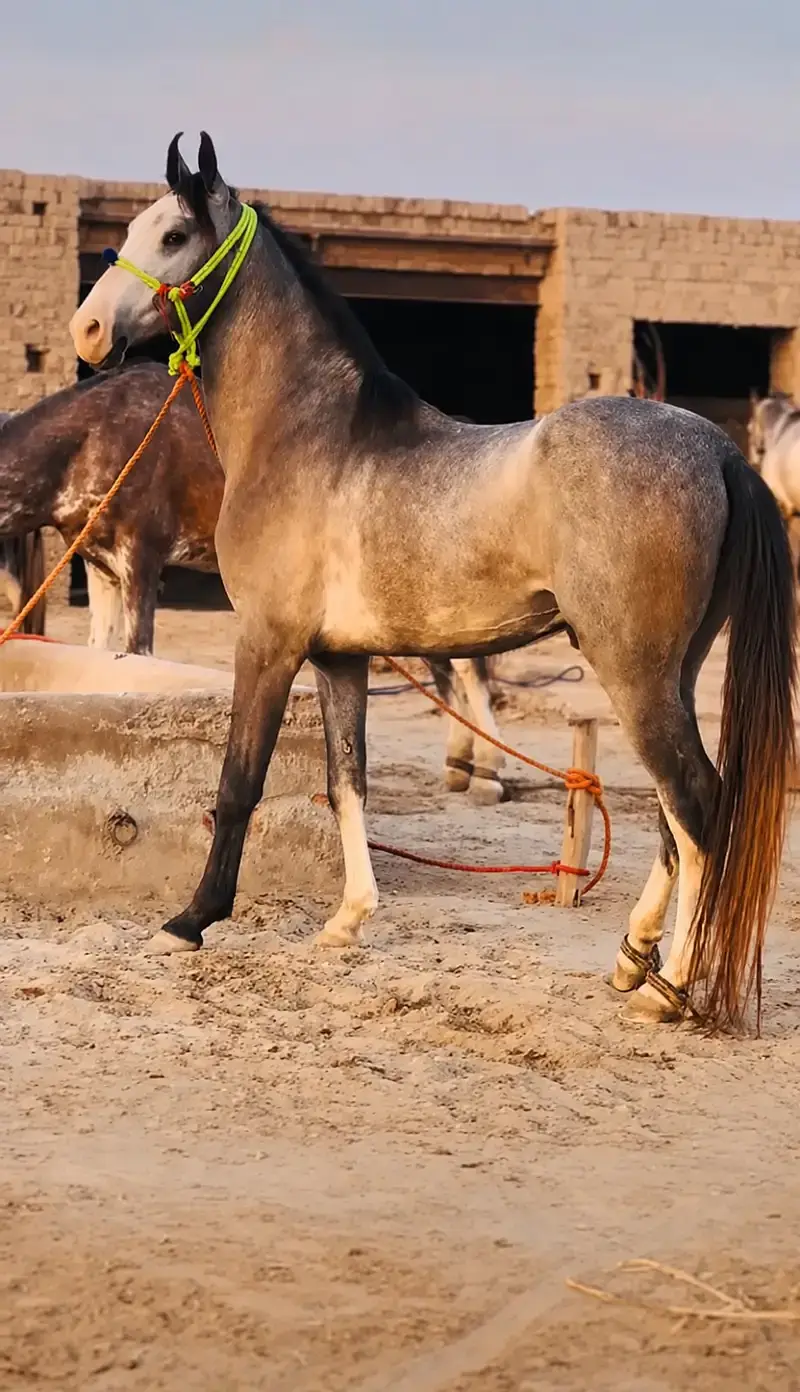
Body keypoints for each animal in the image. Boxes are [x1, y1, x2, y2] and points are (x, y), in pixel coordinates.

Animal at [70, 132, 796, 1032]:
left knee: (698, 809)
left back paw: (672, 991)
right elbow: (347, 781)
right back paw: (634, 963)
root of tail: (721, 452)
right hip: (674, 675)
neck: (308, 433)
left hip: (636, 676)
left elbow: (239, 783)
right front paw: (347, 922)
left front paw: (190, 921)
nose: (87, 330)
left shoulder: (268, 644)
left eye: (172, 235)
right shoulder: (340, 659)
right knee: (675, 818)